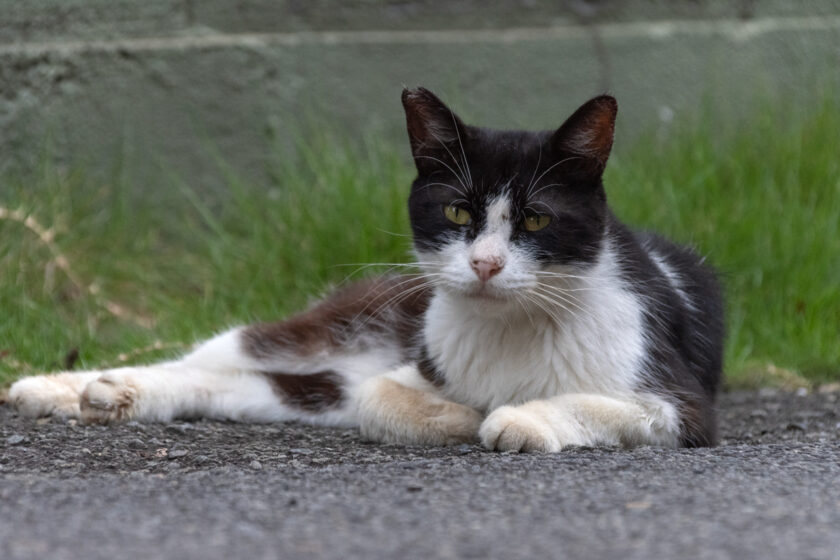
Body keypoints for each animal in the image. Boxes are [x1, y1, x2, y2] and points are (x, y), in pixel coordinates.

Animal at [6, 89, 724, 452]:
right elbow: (382, 399)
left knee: (241, 385)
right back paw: (61, 386)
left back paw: (107, 394)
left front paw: (519, 419)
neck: (510, 331)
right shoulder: (418, 365)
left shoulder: (682, 402)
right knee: (223, 355)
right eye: (458, 211)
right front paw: (461, 416)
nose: (485, 263)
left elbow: (603, 406)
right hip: (346, 321)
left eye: (536, 221)